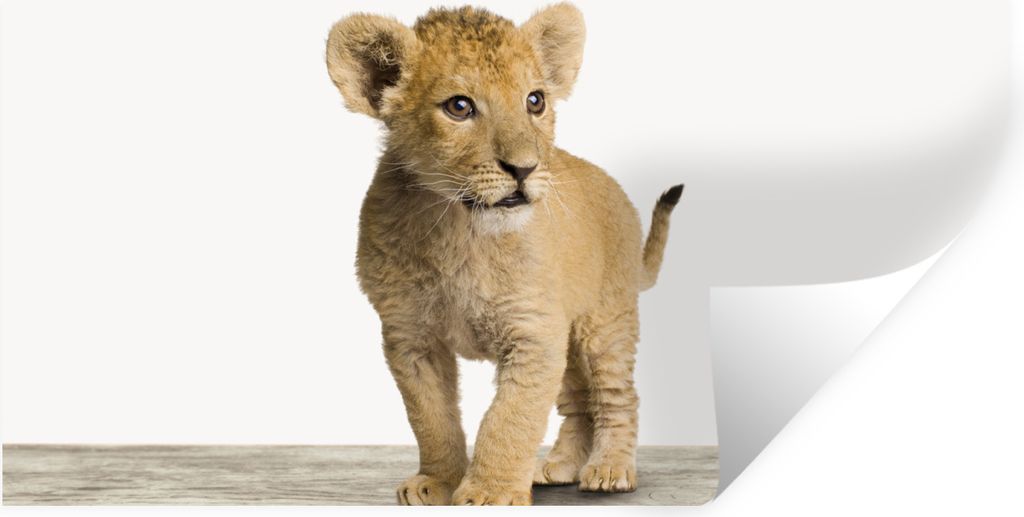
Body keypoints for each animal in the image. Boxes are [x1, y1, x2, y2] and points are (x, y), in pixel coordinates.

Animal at [325, 3, 682, 505]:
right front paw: (437, 482)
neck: (459, 229)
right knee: (577, 403)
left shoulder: (533, 332)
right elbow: (431, 418)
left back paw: (610, 469)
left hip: (604, 321)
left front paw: (489, 492)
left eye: (535, 100)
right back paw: (558, 466)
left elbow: (509, 418)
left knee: (616, 395)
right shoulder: (410, 337)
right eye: (459, 107)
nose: (524, 169)